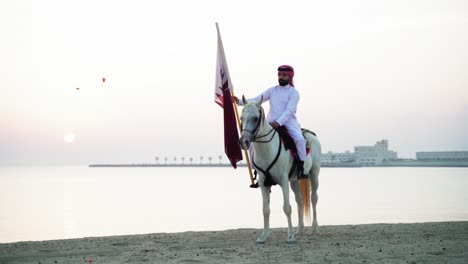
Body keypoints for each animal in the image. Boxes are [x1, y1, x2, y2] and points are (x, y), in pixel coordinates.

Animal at [239, 96, 320, 243]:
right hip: (294, 181)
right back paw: (300, 230)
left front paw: (290, 236)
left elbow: (287, 208)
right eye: (242, 118)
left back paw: (314, 228)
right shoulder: (263, 183)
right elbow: (265, 209)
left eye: (255, 118)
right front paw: (264, 236)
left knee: (313, 198)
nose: (243, 142)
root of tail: (311, 135)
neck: (267, 149)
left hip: (314, 175)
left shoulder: (283, 181)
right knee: (299, 200)